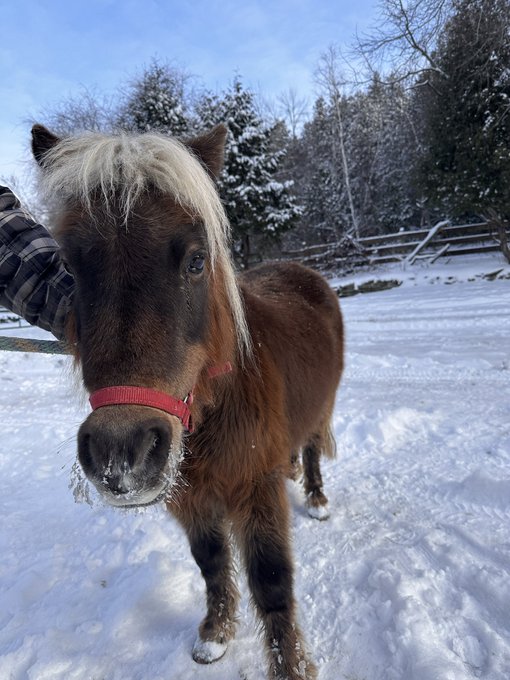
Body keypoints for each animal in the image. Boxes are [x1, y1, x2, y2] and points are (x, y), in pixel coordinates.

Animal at [31, 123, 344, 680]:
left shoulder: (255, 488)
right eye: (69, 266)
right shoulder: (191, 499)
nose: (121, 454)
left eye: (197, 261)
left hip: (321, 408)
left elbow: (271, 580)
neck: (213, 411)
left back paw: (315, 497)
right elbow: (213, 563)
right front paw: (215, 636)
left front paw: (290, 665)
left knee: (310, 448)